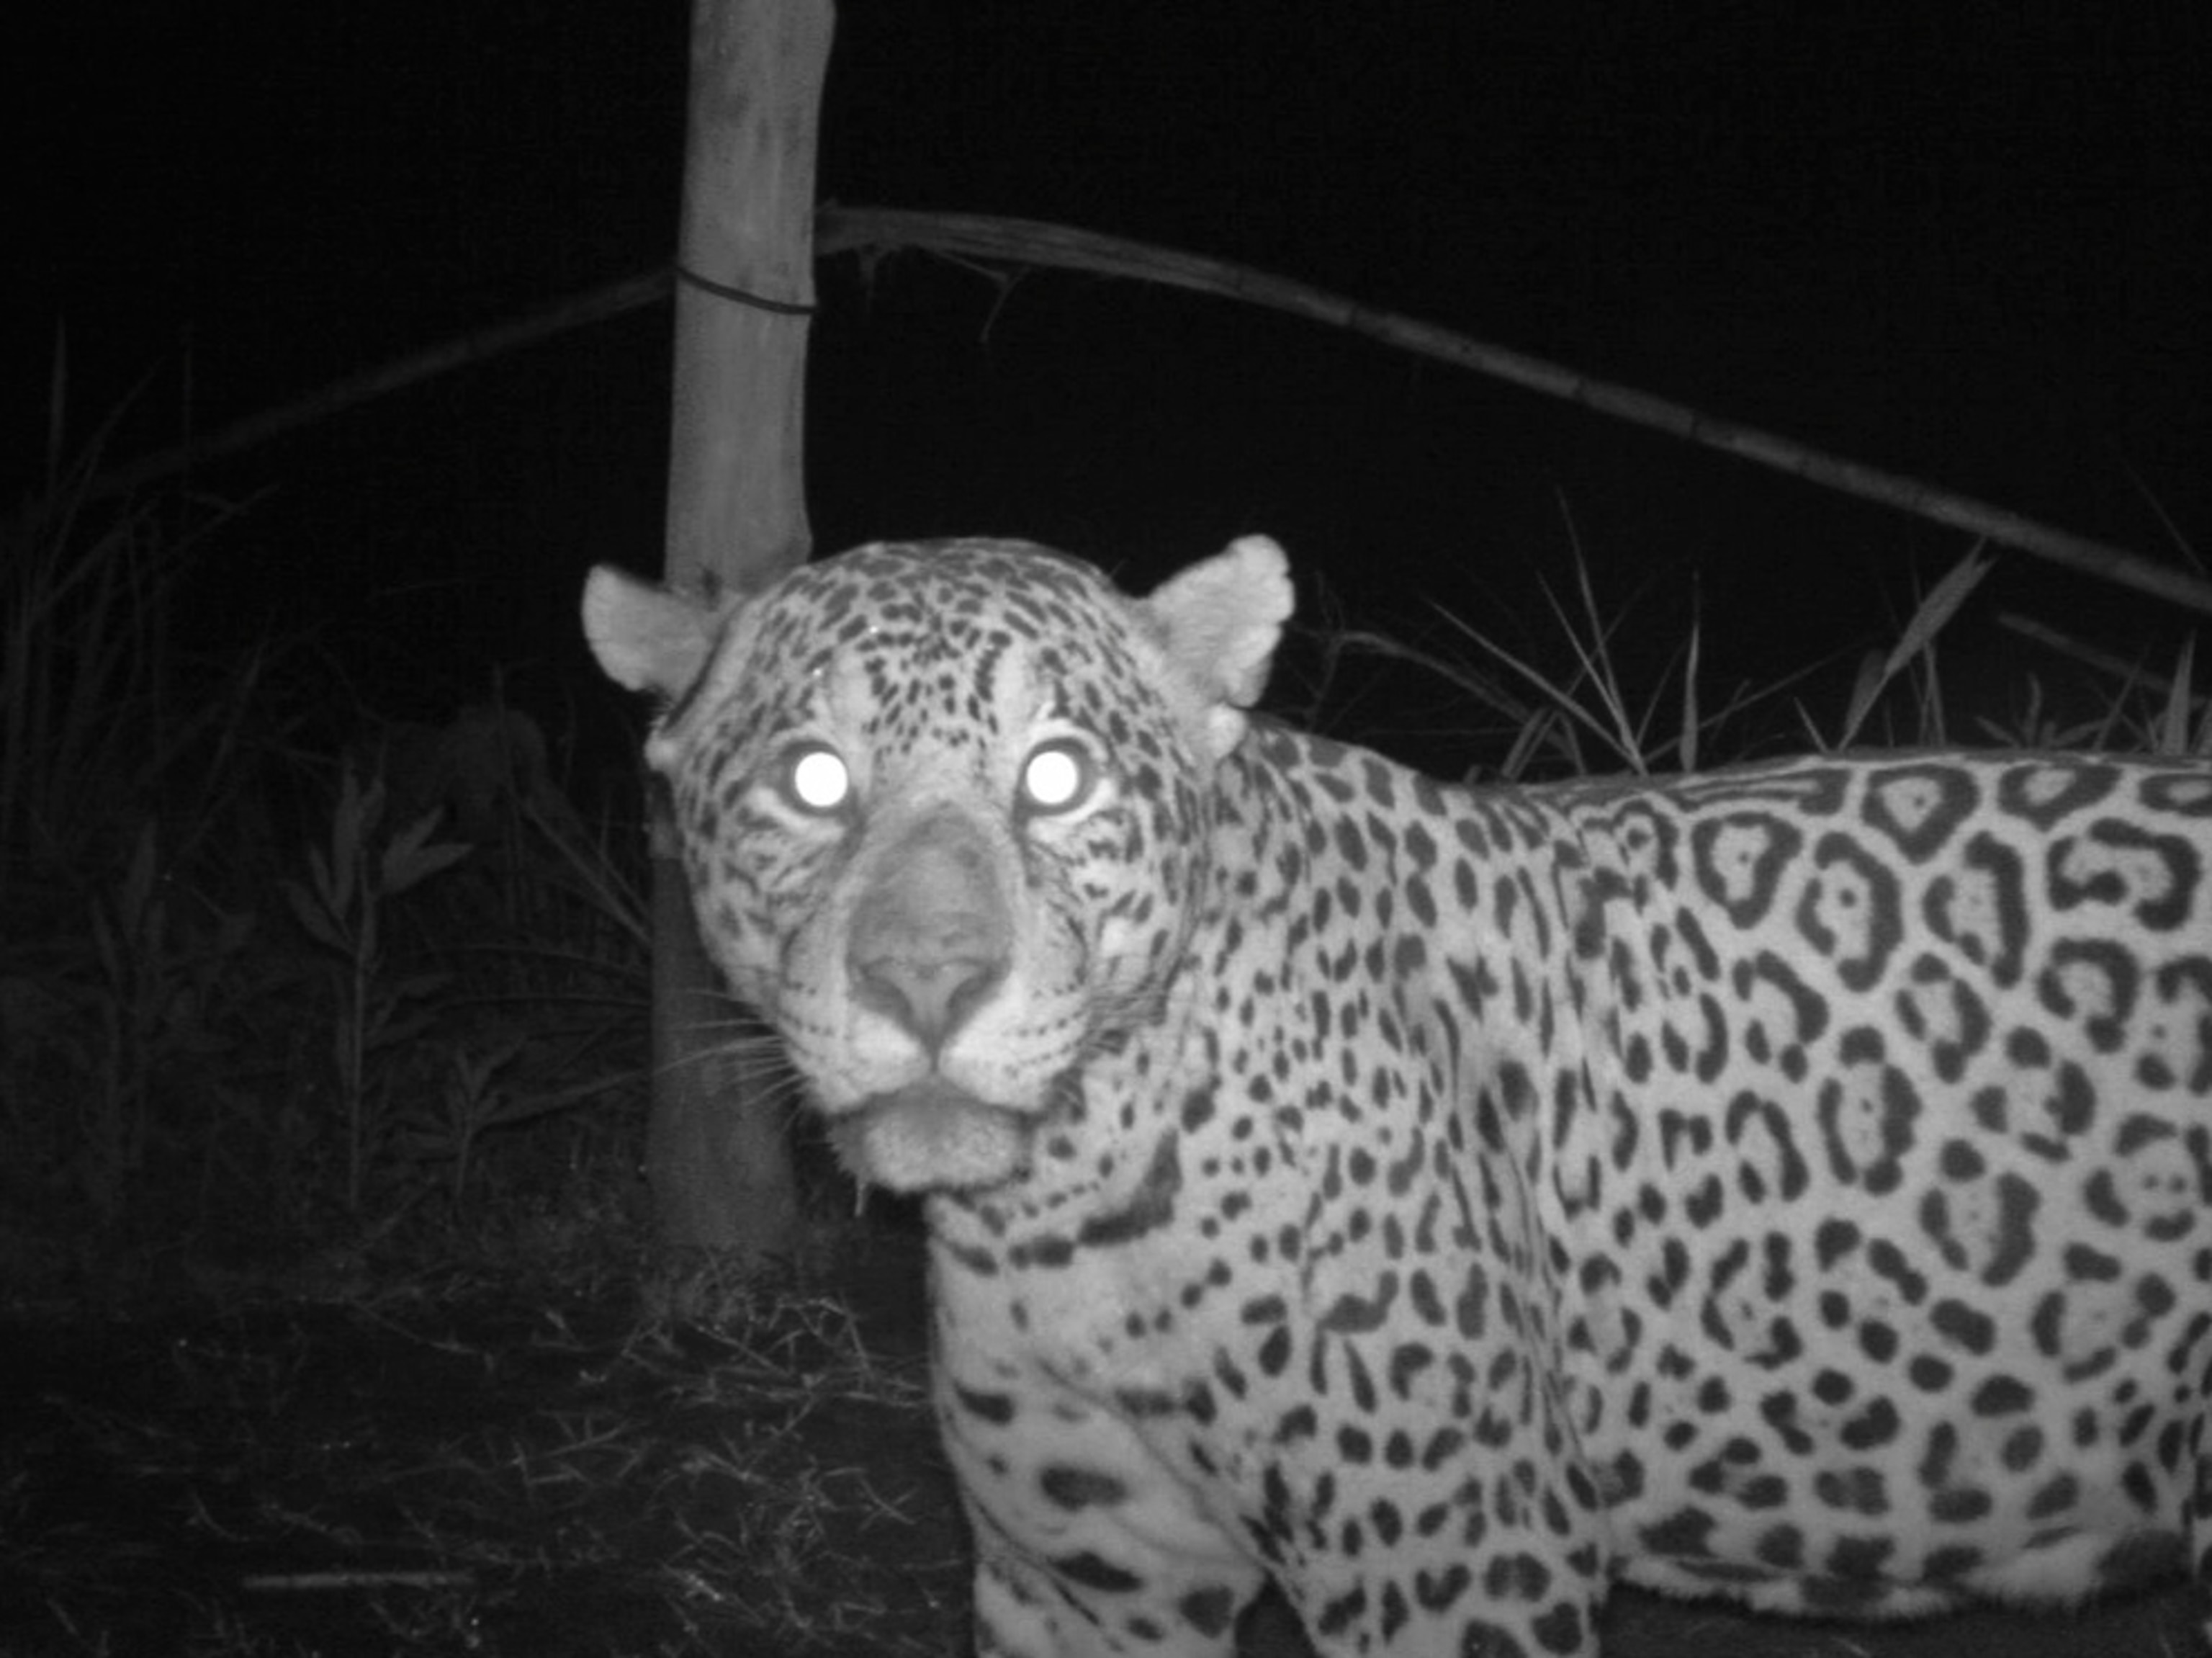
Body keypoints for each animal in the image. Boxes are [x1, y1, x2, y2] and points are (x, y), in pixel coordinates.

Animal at [584, 533, 2212, 1657]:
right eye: (811, 780)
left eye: (1055, 779)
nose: (928, 978)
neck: (1064, 1210)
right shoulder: (1080, 1581)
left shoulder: (1456, 1564)